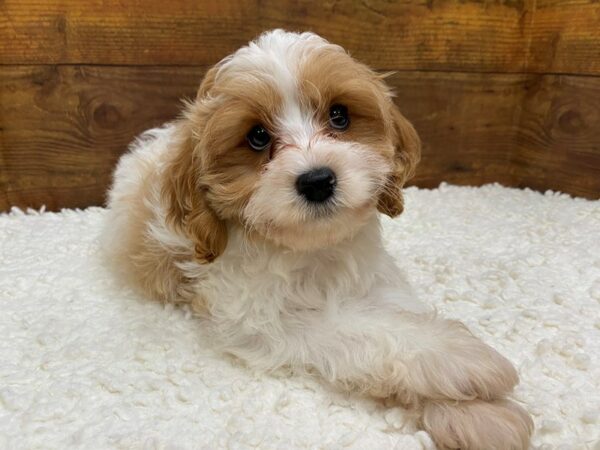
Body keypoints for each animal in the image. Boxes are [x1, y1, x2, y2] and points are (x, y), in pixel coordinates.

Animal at [105, 29, 532, 448]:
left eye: (339, 116)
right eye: (257, 137)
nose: (317, 180)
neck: (314, 249)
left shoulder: (375, 279)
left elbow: (400, 314)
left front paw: (474, 413)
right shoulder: (257, 317)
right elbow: (357, 328)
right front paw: (460, 362)